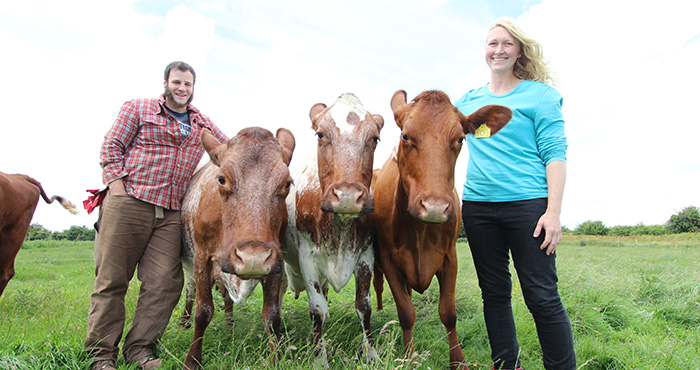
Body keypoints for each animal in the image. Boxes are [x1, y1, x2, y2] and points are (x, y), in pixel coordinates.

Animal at [180, 125, 296, 368]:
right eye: (222, 179)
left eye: (287, 183)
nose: (253, 259)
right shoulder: (201, 258)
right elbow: (202, 312)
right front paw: (192, 359)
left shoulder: (275, 261)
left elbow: (272, 317)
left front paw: (276, 359)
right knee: (190, 291)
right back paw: (183, 324)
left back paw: (229, 325)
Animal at [282, 94, 386, 366]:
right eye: (320, 134)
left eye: (375, 138)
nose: (347, 196)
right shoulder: (307, 258)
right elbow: (317, 309)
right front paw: (319, 358)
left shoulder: (365, 255)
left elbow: (364, 306)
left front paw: (370, 353)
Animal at [372, 90, 508, 370]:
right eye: (405, 136)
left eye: (460, 139)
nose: (434, 207)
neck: (419, 233)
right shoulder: (389, 261)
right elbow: (406, 312)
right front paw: (409, 357)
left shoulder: (449, 258)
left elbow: (449, 313)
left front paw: (458, 361)